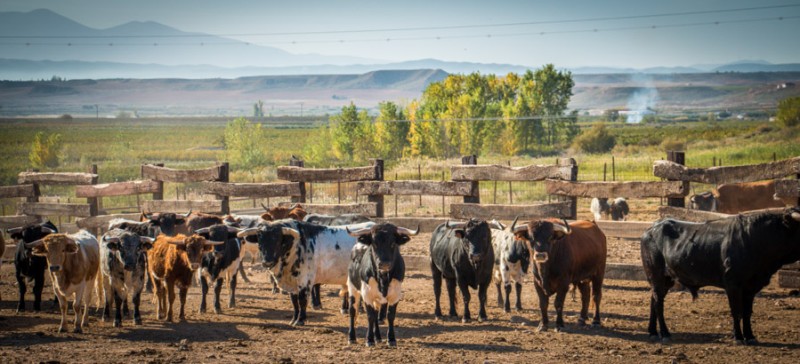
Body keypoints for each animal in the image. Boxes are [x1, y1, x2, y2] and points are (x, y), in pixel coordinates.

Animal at [238, 218, 376, 326]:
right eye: (260, 241)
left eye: (277, 239)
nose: (267, 262)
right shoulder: (292, 283)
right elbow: (294, 301)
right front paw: (294, 319)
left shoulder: (304, 280)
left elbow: (302, 300)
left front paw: (301, 320)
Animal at [640, 208, 800, 344]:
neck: (755, 239)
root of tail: (651, 229)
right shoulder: (733, 284)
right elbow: (736, 311)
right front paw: (738, 337)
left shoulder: (750, 287)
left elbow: (747, 312)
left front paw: (750, 336)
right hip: (657, 276)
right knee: (658, 302)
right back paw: (665, 334)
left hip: (666, 280)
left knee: (654, 300)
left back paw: (653, 332)